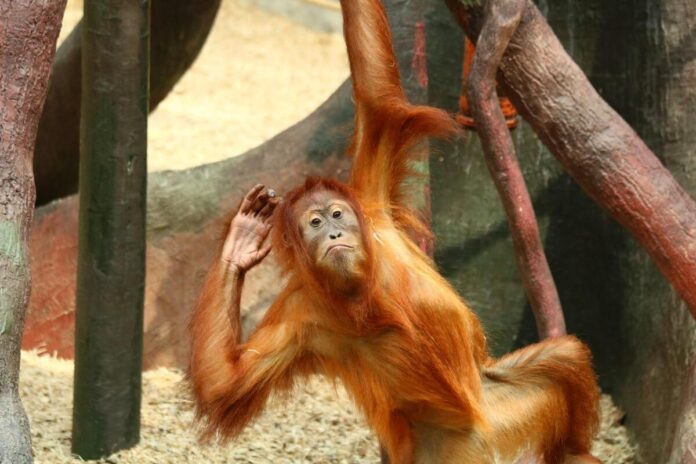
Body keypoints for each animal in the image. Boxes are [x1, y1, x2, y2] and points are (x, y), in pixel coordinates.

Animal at [189, 0, 602, 462]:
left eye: (337, 215)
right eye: (315, 223)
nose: (334, 236)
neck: (361, 288)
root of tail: (484, 440)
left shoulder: (371, 202)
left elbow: (375, 98)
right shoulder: (300, 312)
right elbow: (228, 383)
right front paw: (238, 244)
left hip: (496, 402)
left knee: (563, 357)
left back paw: (573, 452)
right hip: (437, 450)